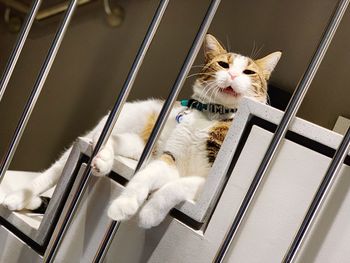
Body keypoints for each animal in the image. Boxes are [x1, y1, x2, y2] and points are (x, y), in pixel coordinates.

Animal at [0, 34, 282, 229]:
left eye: (248, 71)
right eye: (223, 64)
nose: (233, 75)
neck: (211, 115)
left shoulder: (211, 183)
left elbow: (175, 187)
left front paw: (149, 214)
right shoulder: (170, 158)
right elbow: (144, 178)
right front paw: (123, 206)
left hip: (139, 147)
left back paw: (100, 163)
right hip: (119, 133)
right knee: (58, 169)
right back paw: (19, 198)